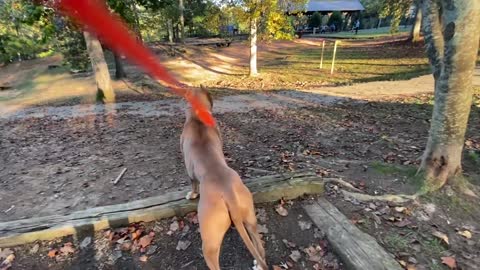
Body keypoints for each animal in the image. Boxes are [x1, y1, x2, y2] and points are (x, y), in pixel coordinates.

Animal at [181, 88, 268, 270]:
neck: (197, 117)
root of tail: (228, 194)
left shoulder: (189, 170)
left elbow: (193, 184)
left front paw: (192, 195)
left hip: (210, 241)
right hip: (250, 218)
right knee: (259, 245)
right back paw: (258, 263)